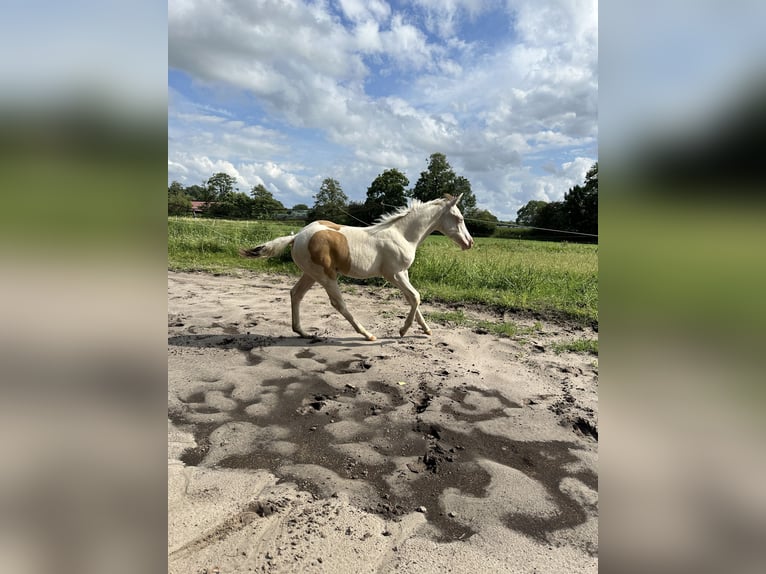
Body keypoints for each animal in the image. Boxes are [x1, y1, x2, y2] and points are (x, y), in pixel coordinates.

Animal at [244, 194, 474, 340]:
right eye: (459, 218)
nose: (469, 243)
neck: (402, 235)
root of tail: (297, 236)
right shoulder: (394, 274)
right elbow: (416, 297)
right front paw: (403, 330)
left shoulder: (404, 274)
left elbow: (412, 298)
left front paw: (425, 330)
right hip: (325, 276)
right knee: (339, 304)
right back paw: (367, 334)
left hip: (310, 274)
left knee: (296, 294)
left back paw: (302, 332)